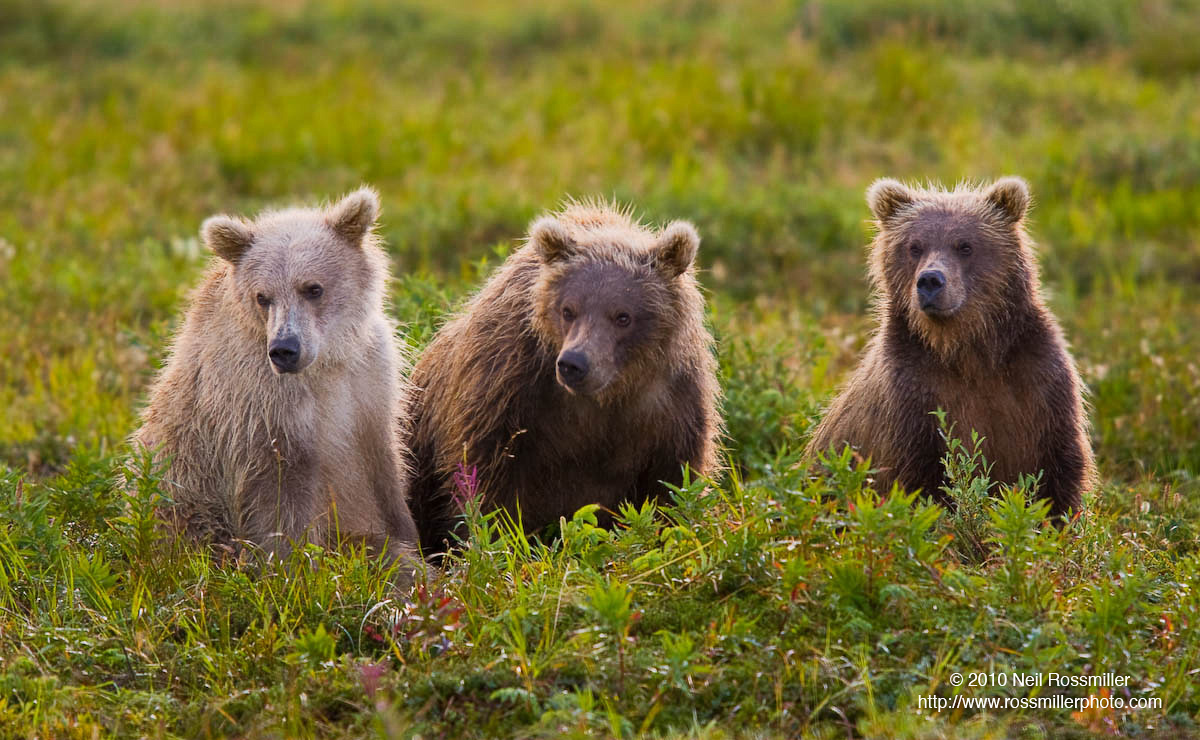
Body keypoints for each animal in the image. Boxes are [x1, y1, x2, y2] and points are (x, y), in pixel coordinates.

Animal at [131, 188, 419, 563]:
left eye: (313, 288)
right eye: (262, 296)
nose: (285, 349)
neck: (326, 363)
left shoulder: (367, 382)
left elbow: (385, 469)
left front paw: (415, 538)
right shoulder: (260, 408)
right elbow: (280, 504)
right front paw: (295, 564)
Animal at [406, 200, 722, 555]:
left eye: (622, 316)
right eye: (568, 309)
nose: (574, 363)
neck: (611, 391)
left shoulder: (671, 402)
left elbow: (672, 483)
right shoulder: (508, 384)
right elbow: (486, 481)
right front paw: (496, 541)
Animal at [805, 177, 1094, 519]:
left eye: (965, 245)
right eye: (914, 246)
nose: (930, 280)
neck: (964, 350)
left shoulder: (1039, 382)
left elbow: (1058, 470)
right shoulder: (911, 396)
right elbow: (920, 481)